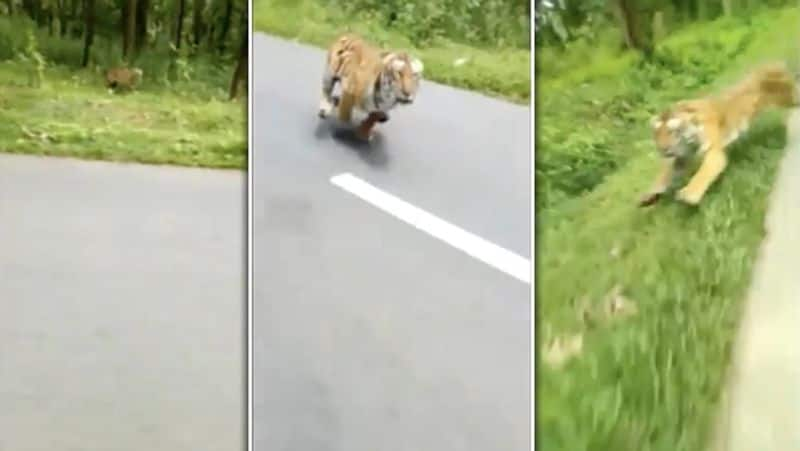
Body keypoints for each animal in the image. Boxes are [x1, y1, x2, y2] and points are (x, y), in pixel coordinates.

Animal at [636, 61, 800, 207]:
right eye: (657, 134)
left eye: (672, 131)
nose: (663, 149)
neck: (690, 140)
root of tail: (775, 63)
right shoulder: (682, 157)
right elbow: (664, 175)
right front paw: (648, 195)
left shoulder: (712, 152)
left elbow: (702, 173)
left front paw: (689, 194)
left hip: (789, 98)